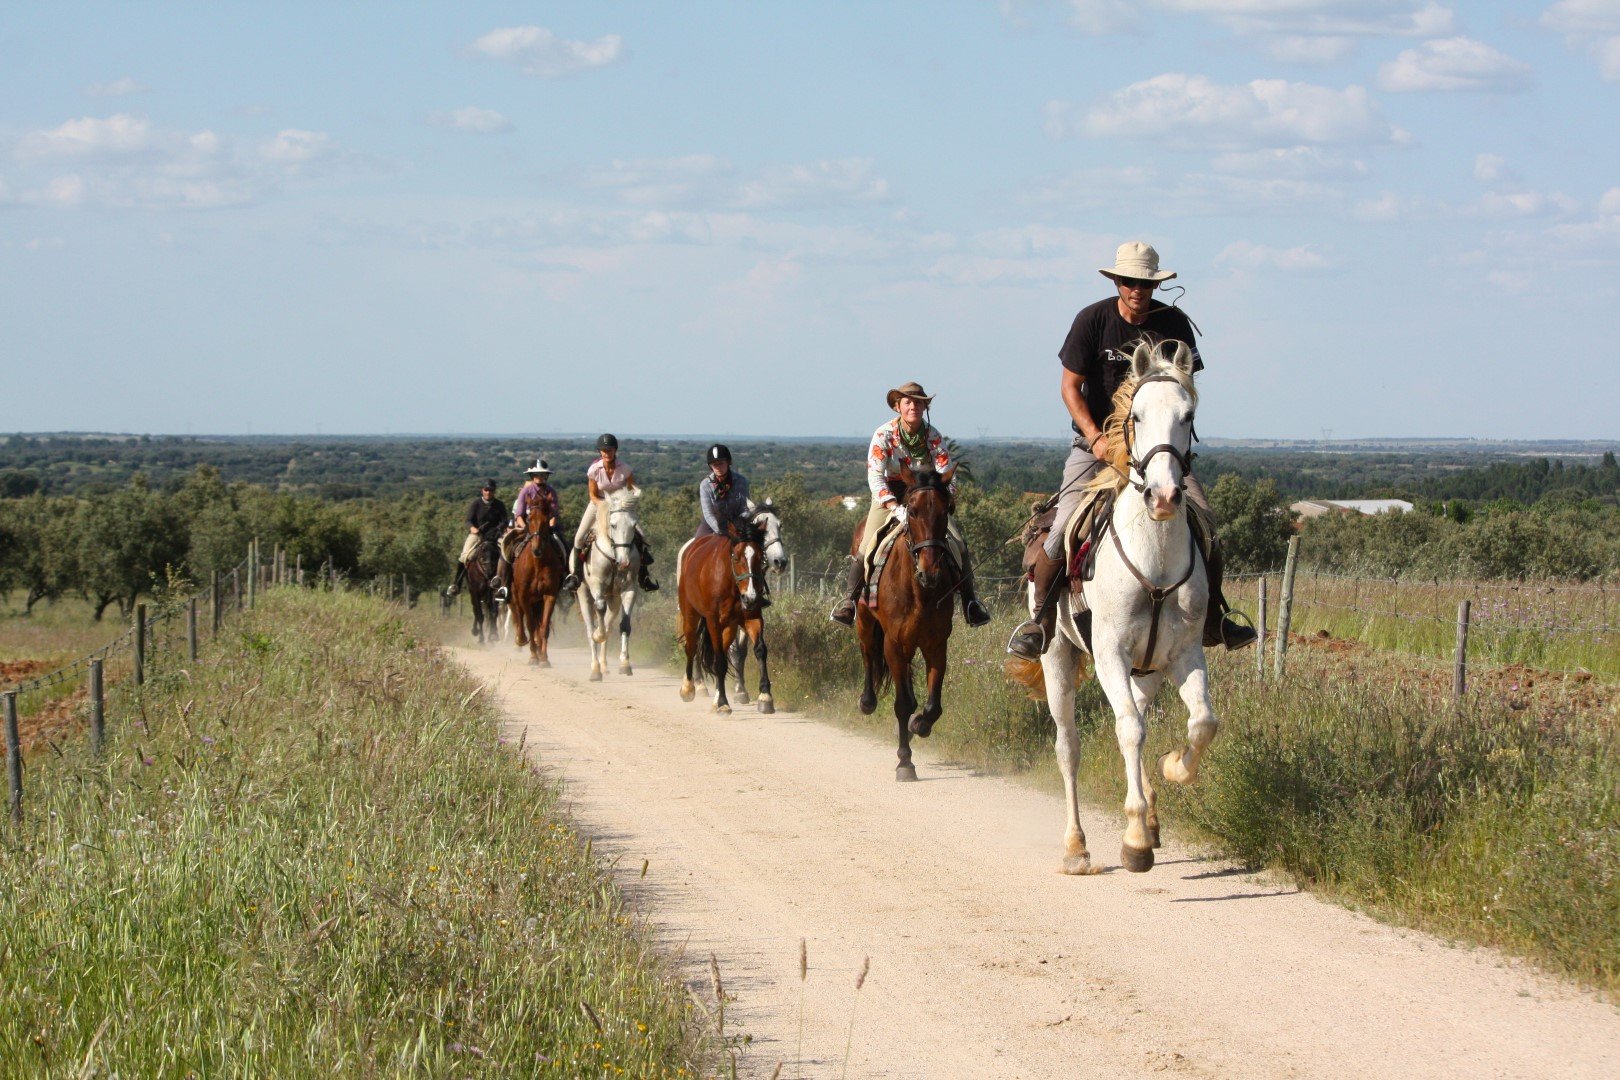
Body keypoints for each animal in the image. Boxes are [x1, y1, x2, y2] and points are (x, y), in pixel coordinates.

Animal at [508, 518, 567, 667]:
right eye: (529, 521)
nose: (537, 549)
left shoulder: (548, 595)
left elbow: (543, 626)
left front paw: (543, 657)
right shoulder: (521, 596)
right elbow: (526, 622)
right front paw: (532, 654)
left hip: (537, 601)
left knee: (537, 623)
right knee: (520, 616)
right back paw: (522, 640)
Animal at [573, 485, 641, 680]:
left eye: (634, 525)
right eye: (613, 525)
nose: (624, 562)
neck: (613, 556)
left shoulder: (629, 589)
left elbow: (624, 625)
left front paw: (625, 664)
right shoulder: (597, 585)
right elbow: (599, 612)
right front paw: (598, 634)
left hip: (615, 600)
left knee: (609, 625)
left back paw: (603, 666)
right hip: (583, 595)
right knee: (590, 627)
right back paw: (595, 669)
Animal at [677, 511, 784, 712]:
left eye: (759, 556)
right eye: (735, 556)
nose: (750, 597)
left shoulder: (752, 617)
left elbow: (759, 650)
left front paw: (765, 697)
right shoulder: (713, 621)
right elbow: (719, 659)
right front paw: (723, 704)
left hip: (729, 626)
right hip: (690, 614)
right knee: (692, 646)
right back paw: (689, 688)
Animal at [848, 459, 959, 780]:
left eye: (947, 510)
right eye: (912, 510)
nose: (930, 572)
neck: (919, 591)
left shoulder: (936, 645)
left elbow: (933, 706)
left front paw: (918, 725)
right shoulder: (894, 644)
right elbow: (902, 704)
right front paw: (905, 761)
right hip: (866, 624)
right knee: (868, 655)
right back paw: (867, 701)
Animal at [1036, 341, 1218, 874]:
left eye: (1188, 415)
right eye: (1136, 415)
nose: (1164, 497)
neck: (1152, 560)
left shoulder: (1184, 655)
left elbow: (1202, 723)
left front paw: (1174, 768)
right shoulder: (1110, 655)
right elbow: (1131, 731)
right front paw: (1135, 839)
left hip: (1148, 671)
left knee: (1137, 715)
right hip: (1057, 659)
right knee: (1070, 747)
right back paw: (1077, 848)